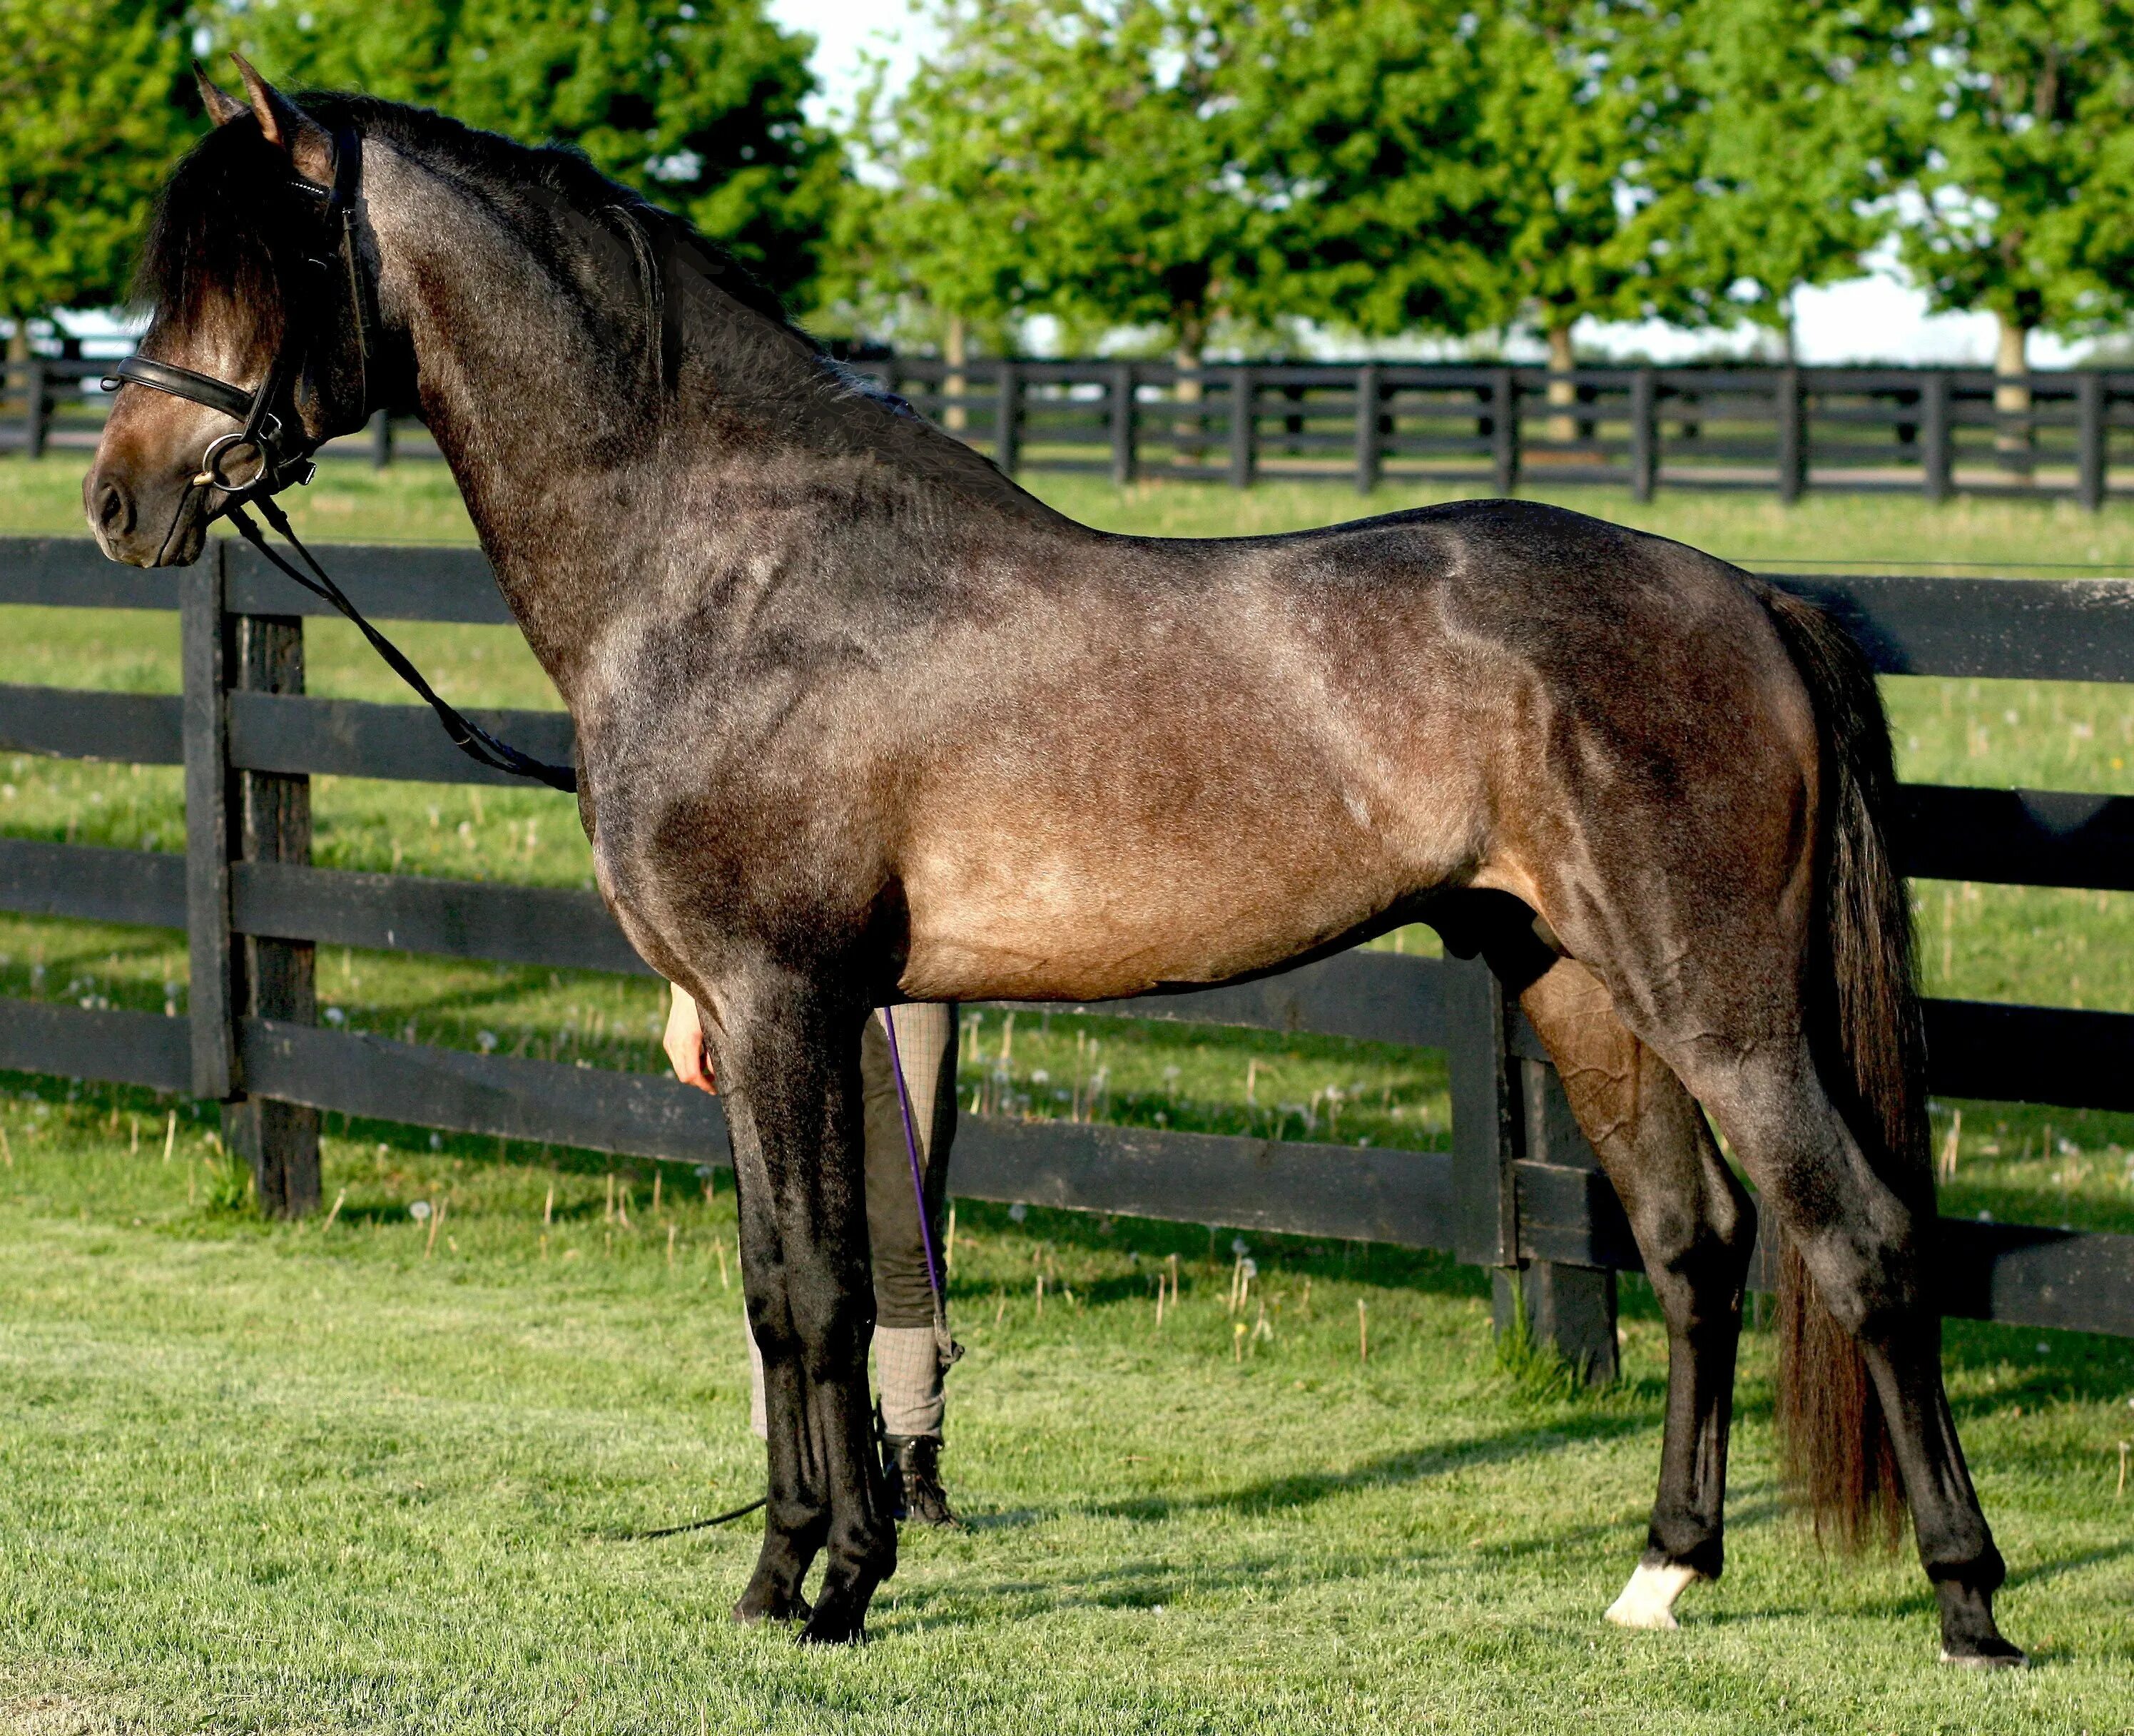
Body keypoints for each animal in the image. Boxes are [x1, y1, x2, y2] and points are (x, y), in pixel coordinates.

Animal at [78, 64, 2014, 1665]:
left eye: (256, 262)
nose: (119, 500)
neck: (721, 568)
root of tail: (1744, 594)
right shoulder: (750, 1013)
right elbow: (774, 1296)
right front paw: (775, 1575)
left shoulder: (785, 998)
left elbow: (830, 1290)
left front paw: (843, 1584)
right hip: (1571, 974)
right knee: (1694, 1246)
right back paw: (1662, 1571)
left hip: (1714, 993)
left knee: (1855, 1237)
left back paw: (1969, 1602)